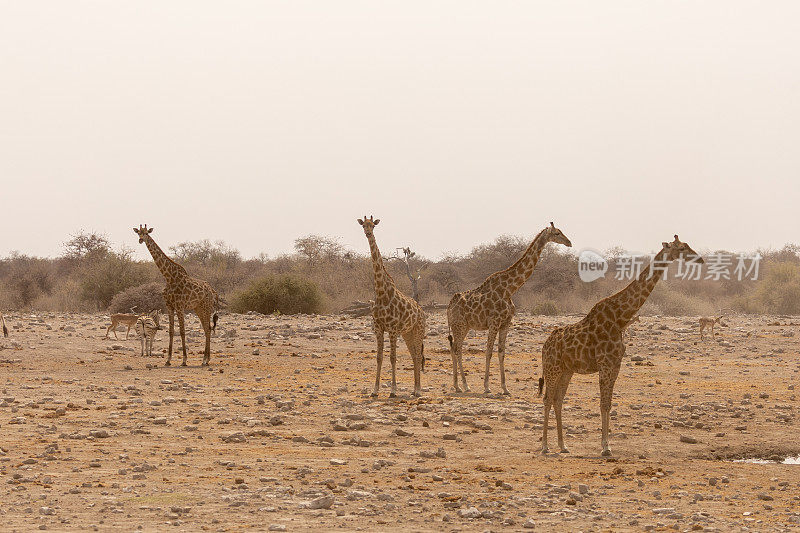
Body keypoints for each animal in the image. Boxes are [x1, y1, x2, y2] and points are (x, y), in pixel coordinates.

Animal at [133, 224, 219, 366]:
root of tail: (212, 291)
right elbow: (171, 331)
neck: (169, 277)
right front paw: (168, 360)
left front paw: (184, 360)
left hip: (206, 307)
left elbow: (182, 331)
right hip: (198, 308)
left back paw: (205, 360)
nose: (140, 240)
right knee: (207, 328)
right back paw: (206, 359)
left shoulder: (179, 306)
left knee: (208, 329)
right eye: (138, 232)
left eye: (146, 233)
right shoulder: (169, 306)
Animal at [360, 215, 428, 394]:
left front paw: (393, 390)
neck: (381, 293)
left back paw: (418, 390)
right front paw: (375, 390)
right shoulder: (378, 328)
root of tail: (421, 311)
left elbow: (393, 358)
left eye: (373, 226)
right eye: (363, 225)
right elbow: (379, 357)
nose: (368, 233)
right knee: (414, 355)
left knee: (418, 355)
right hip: (407, 333)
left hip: (418, 330)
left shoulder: (391, 329)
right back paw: (415, 388)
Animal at [446, 221, 572, 394]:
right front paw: (487, 387)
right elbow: (489, 352)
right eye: (557, 233)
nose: (569, 242)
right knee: (457, 349)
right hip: (459, 325)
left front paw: (505, 388)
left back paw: (457, 385)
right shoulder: (494, 322)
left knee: (454, 349)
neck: (510, 289)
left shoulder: (506, 323)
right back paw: (464, 385)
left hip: (463, 327)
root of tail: (448, 307)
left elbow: (501, 352)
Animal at [540, 235, 704, 456]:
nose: (700, 259)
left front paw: (607, 445)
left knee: (558, 399)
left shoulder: (616, 364)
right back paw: (545, 446)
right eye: (681, 248)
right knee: (547, 399)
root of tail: (544, 346)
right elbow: (603, 404)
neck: (621, 318)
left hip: (567, 370)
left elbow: (609, 404)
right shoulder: (605, 363)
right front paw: (605, 447)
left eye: (687, 245)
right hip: (552, 368)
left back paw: (563, 445)